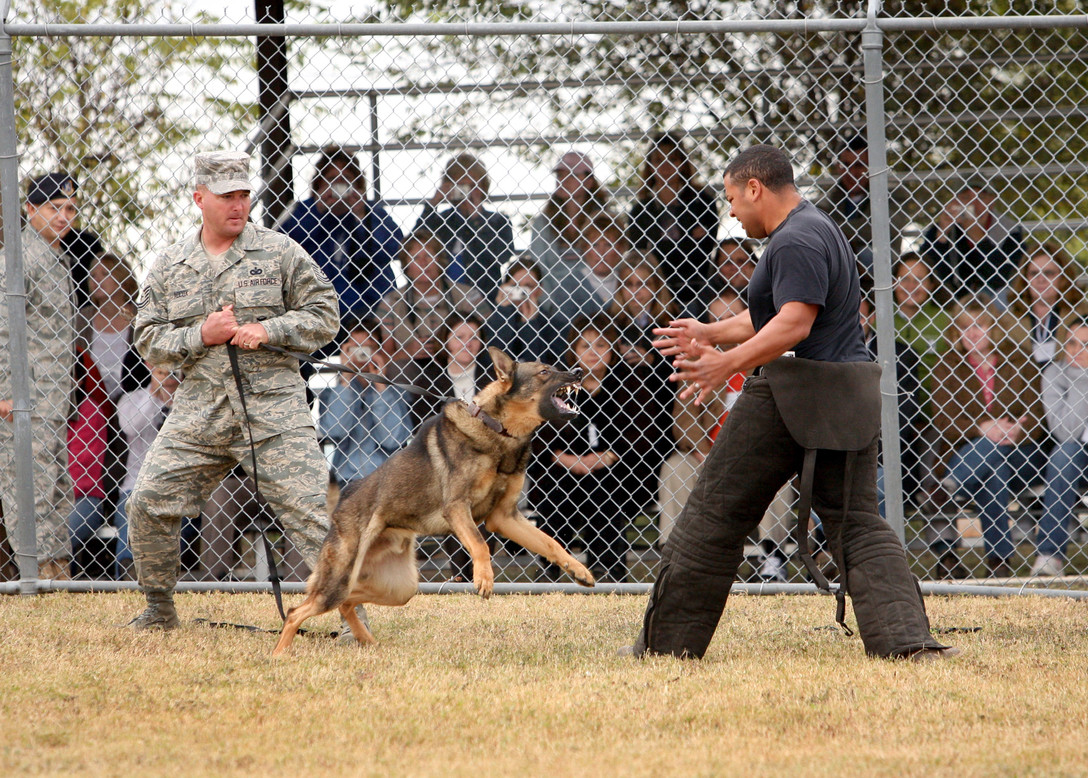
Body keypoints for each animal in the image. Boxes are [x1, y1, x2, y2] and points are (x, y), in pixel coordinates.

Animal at [272, 350, 596, 652]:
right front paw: (484, 577)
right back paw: (280, 655)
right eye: (544, 372)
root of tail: (343, 501)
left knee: (346, 603)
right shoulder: (457, 507)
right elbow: (480, 544)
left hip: (398, 587)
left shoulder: (505, 517)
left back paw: (366, 641)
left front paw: (578, 570)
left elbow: (551, 543)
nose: (580, 371)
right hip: (341, 578)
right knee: (296, 611)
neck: (497, 429)